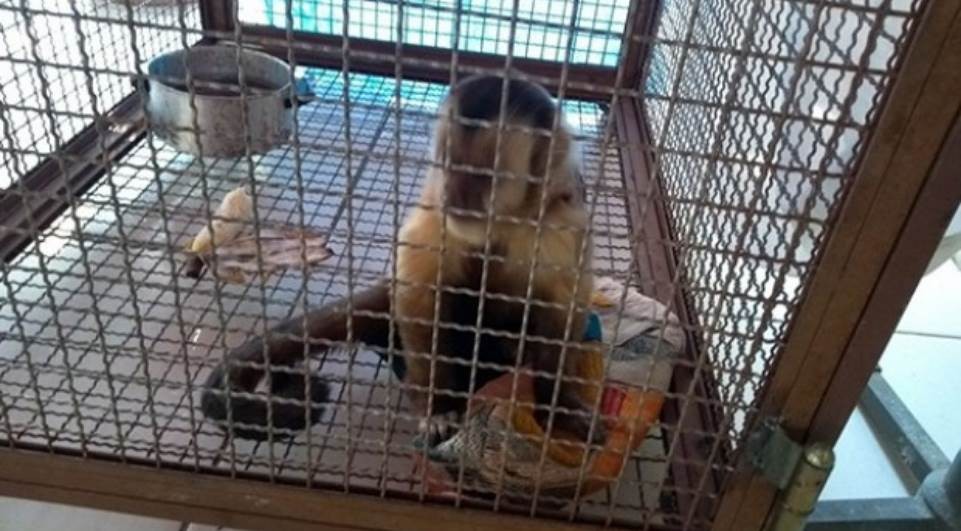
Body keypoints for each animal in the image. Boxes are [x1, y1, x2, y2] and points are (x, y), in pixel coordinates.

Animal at [201, 74, 603, 445]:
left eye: (485, 174)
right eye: (447, 162)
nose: (455, 195)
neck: (504, 224)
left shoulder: (562, 224)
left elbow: (563, 313)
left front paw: (559, 407)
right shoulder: (436, 213)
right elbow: (420, 297)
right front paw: (439, 407)